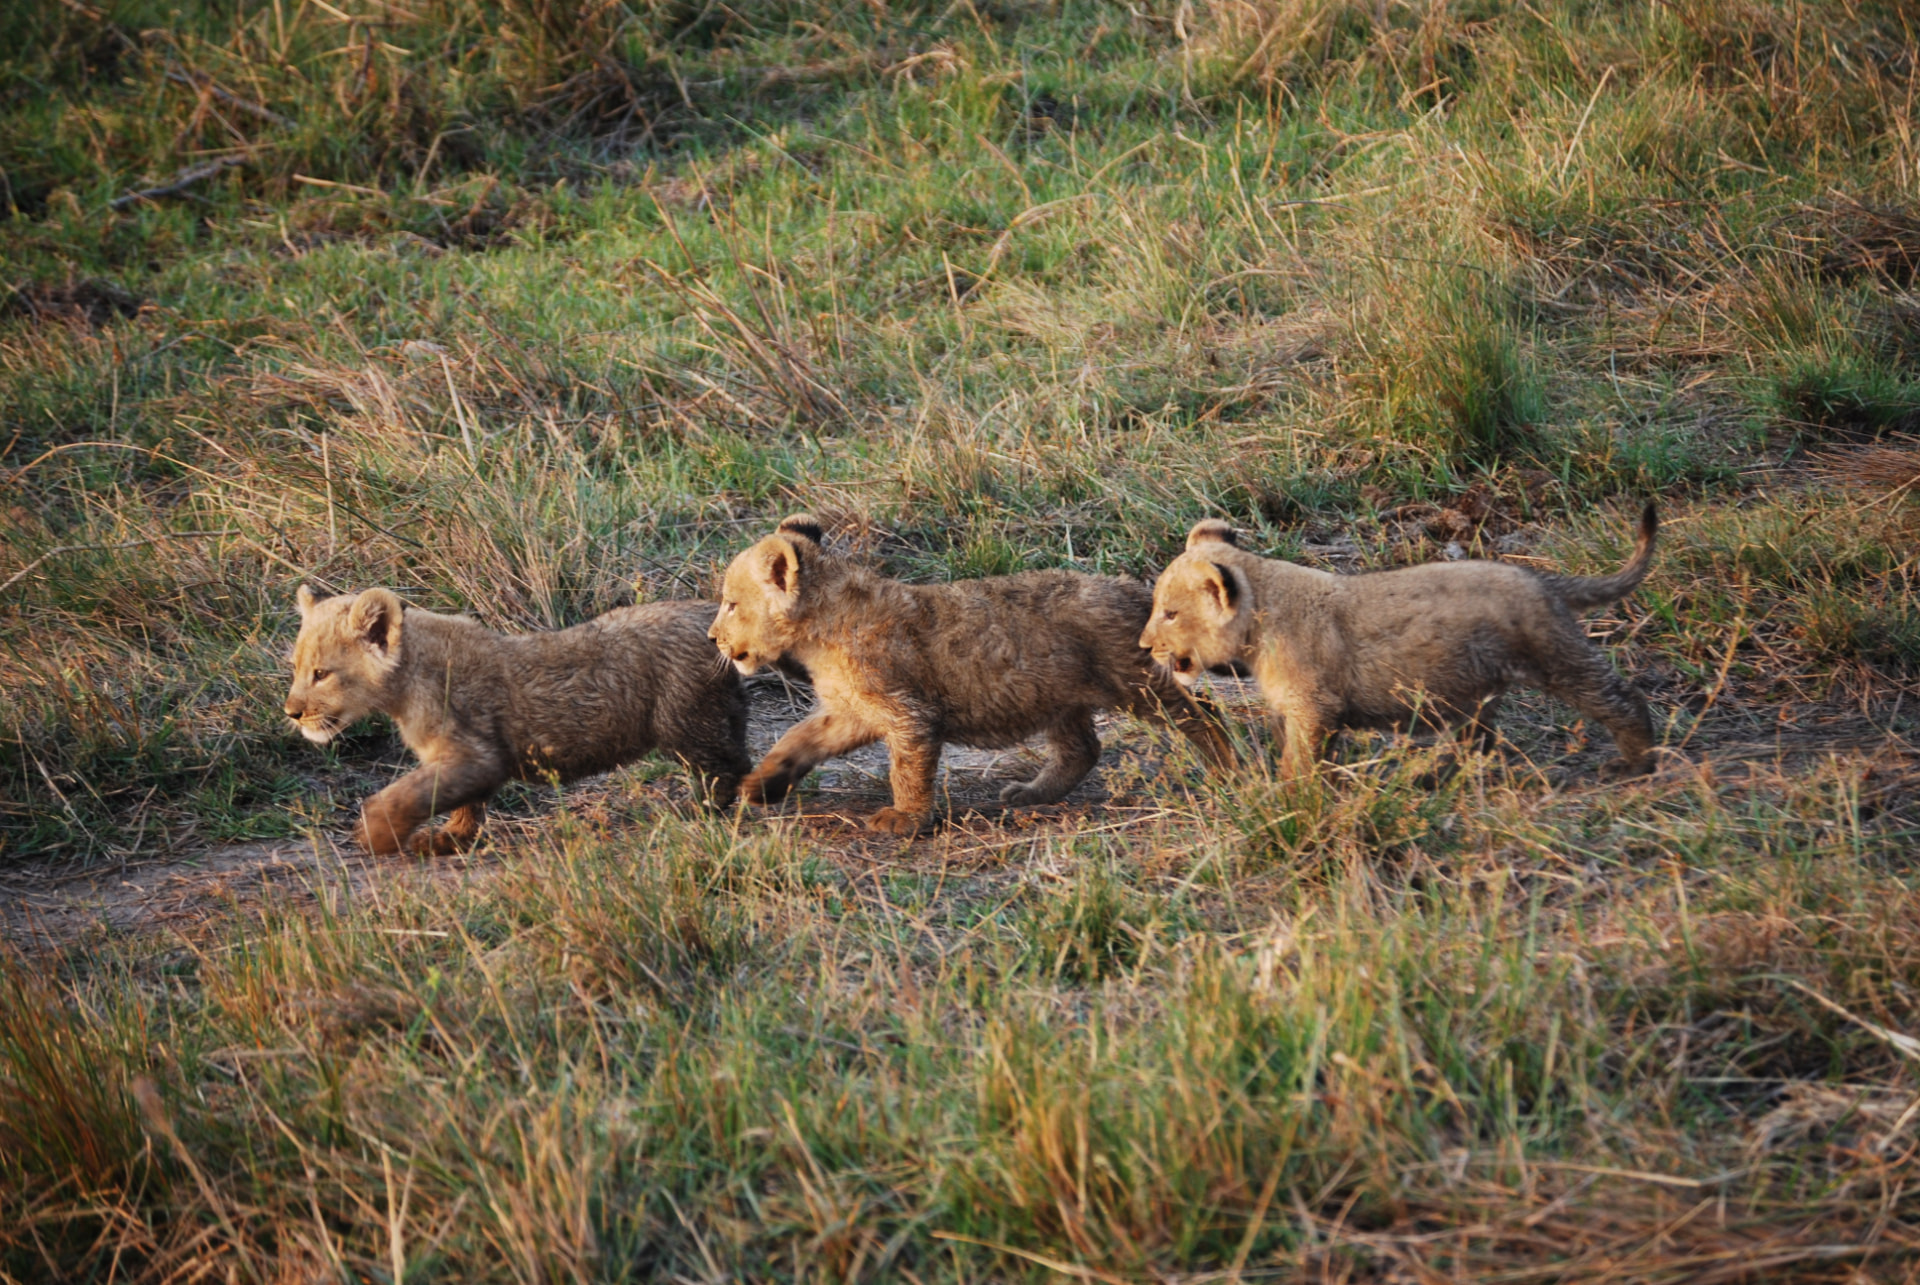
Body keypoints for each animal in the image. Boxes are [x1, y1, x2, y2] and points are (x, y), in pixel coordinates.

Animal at [284, 586, 751, 855]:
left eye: (321, 673)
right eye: (295, 667)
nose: (292, 712)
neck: (407, 677)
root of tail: (709, 617)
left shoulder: (475, 756)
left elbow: (407, 794)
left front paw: (375, 833)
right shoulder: (472, 759)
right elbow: (465, 805)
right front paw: (447, 839)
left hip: (686, 721)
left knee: (723, 768)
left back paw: (697, 809)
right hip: (719, 712)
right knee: (740, 754)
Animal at [709, 516, 1236, 834]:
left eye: (731, 604)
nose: (713, 637)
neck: (818, 630)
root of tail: (1138, 591)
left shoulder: (908, 713)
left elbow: (907, 768)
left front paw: (905, 819)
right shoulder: (850, 712)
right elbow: (796, 740)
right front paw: (759, 786)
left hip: (1135, 679)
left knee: (1202, 712)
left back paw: (1227, 767)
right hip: (1058, 696)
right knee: (1083, 749)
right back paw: (1030, 794)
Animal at [1139, 506, 1660, 780]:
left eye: (1169, 613)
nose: (1144, 646)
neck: (1259, 620)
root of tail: (1541, 580)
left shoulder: (1314, 707)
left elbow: (1299, 763)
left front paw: (1290, 799)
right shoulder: (1297, 711)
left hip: (1554, 654)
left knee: (1620, 697)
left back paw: (1637, 763)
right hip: (1476, 692)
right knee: (1478, 739)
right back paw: (1439, 774)